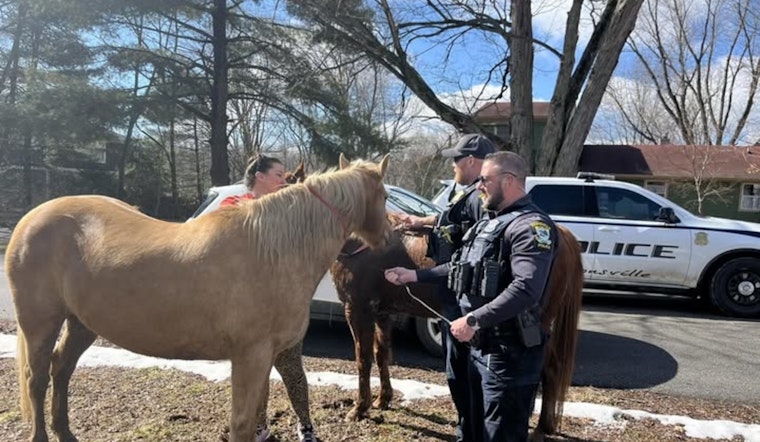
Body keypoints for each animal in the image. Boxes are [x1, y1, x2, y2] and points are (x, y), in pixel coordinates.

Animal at [6, 154, 391, 442]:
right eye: (386, 197)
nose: (388, 242)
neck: (272, 250)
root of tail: (29, 219)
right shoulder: (250, 356)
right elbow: (242, 424)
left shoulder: (266, 356)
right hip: (40, 323)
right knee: (36, 378)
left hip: (81, 323)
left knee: (61, 369)